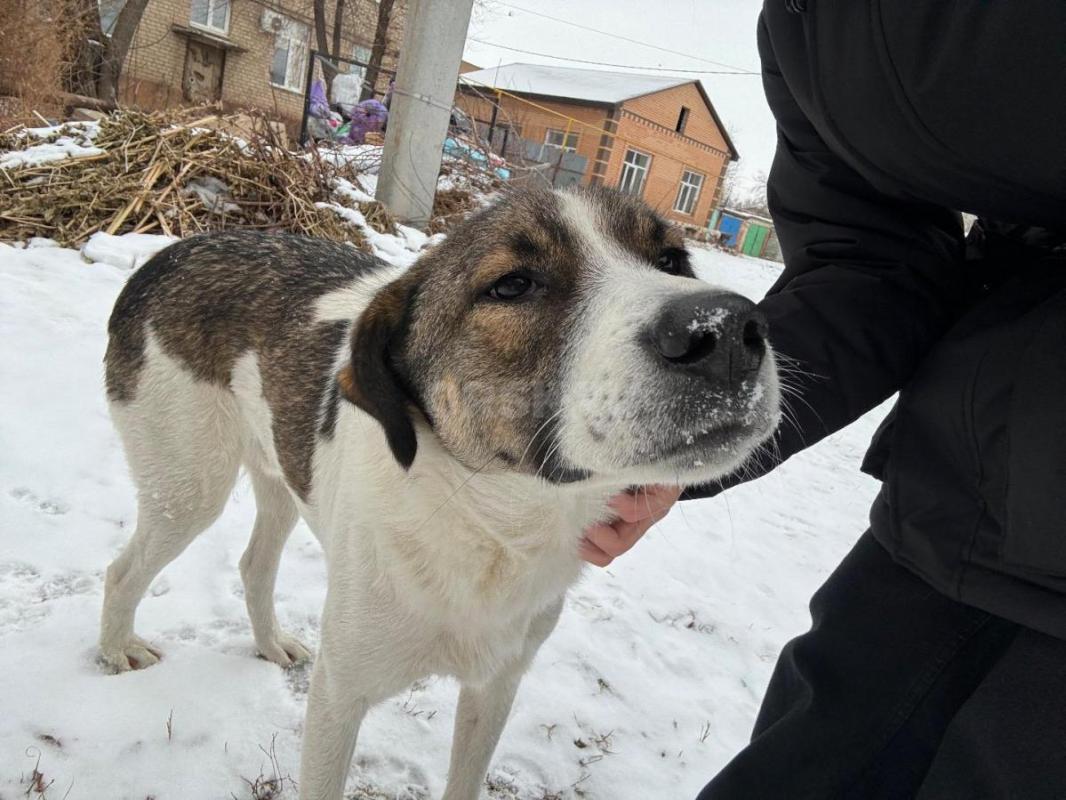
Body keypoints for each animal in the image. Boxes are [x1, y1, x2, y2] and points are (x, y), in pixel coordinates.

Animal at [100, 184, 780, 797]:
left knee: (253, 563)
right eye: (512, 285)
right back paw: (115, 653)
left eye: (671, 260)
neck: (489, 523)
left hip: (283, 473)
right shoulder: (338, 698)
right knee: (123, 570)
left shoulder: (496, 685)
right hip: (189, 486)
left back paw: (270, 644)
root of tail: (170, 252)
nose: (727, 330)